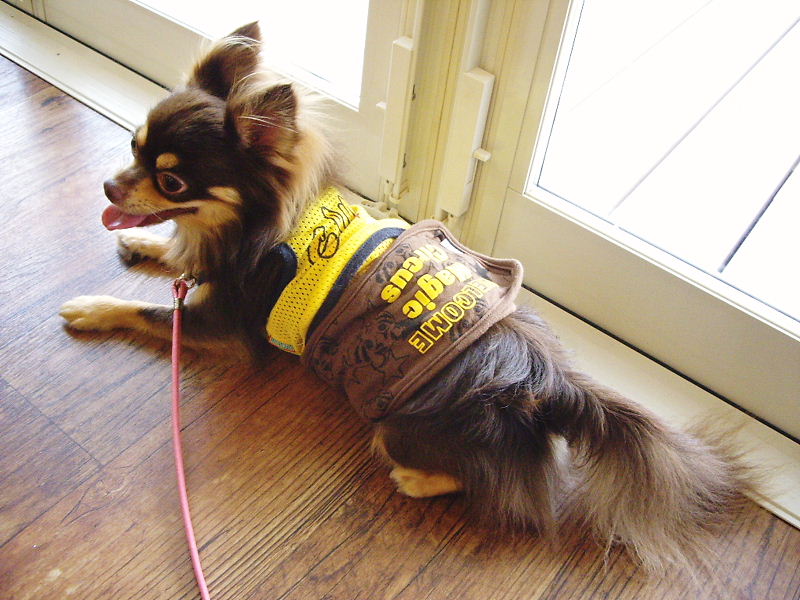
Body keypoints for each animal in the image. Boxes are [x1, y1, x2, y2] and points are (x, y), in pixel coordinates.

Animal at [60, 22, 750, 575]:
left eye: (172, 180)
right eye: (132, 148)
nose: (108, 186)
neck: (247, 229)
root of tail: (547, 385)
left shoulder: (227, 328)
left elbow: (151, 311)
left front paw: (92, 306)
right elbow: (175, 259)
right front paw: (146, 244)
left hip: (396, 426)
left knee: (482, 487)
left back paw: (416, 479)